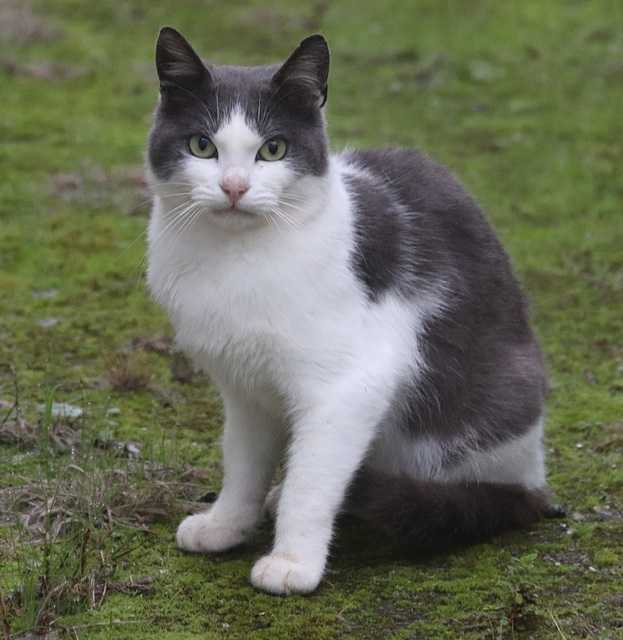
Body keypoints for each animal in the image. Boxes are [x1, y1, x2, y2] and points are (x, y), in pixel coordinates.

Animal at [145, 25, 552, 596]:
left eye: (273, 149)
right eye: (202, 146)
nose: (234, 186)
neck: (235, 259)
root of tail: (535, 479)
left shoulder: (351, 383)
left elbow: (312, 481)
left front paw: (292, 562)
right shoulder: (244, 388)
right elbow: (243, 462)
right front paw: (227, 524)